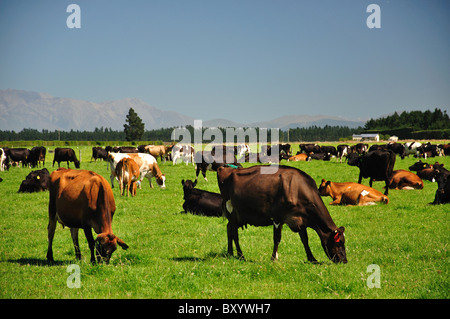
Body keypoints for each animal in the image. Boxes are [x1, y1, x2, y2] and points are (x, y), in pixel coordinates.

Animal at [217, 165, 348, 264]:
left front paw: (312, 259)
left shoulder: (300, 220)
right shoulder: (277, 218)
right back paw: (240, 255)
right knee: (234, 233)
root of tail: (225, 168)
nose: (345, 261)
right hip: (231, 210)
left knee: (229, 229)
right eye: (339, 242)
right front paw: (273, 258)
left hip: (238, 215)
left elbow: (305, 240)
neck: (297, 190)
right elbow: (277, 239)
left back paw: (230, 253)